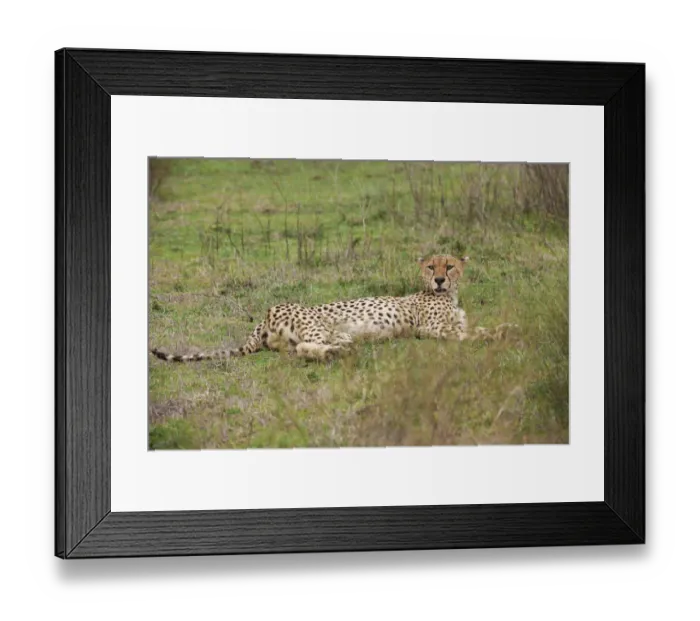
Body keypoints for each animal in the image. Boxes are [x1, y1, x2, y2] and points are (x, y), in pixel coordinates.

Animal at [150, 254, 517, 363]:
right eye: (431, 267)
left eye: (450, 266)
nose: (440, 279)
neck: (446, 295)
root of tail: (267, 312)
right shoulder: (433, 329)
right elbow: (470, 334)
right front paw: (498, 334)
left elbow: (477, 327)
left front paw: (508, 328)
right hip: (320, 326)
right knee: (310, 348)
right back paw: (334, 353)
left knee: (300, 350)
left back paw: (336, 351)